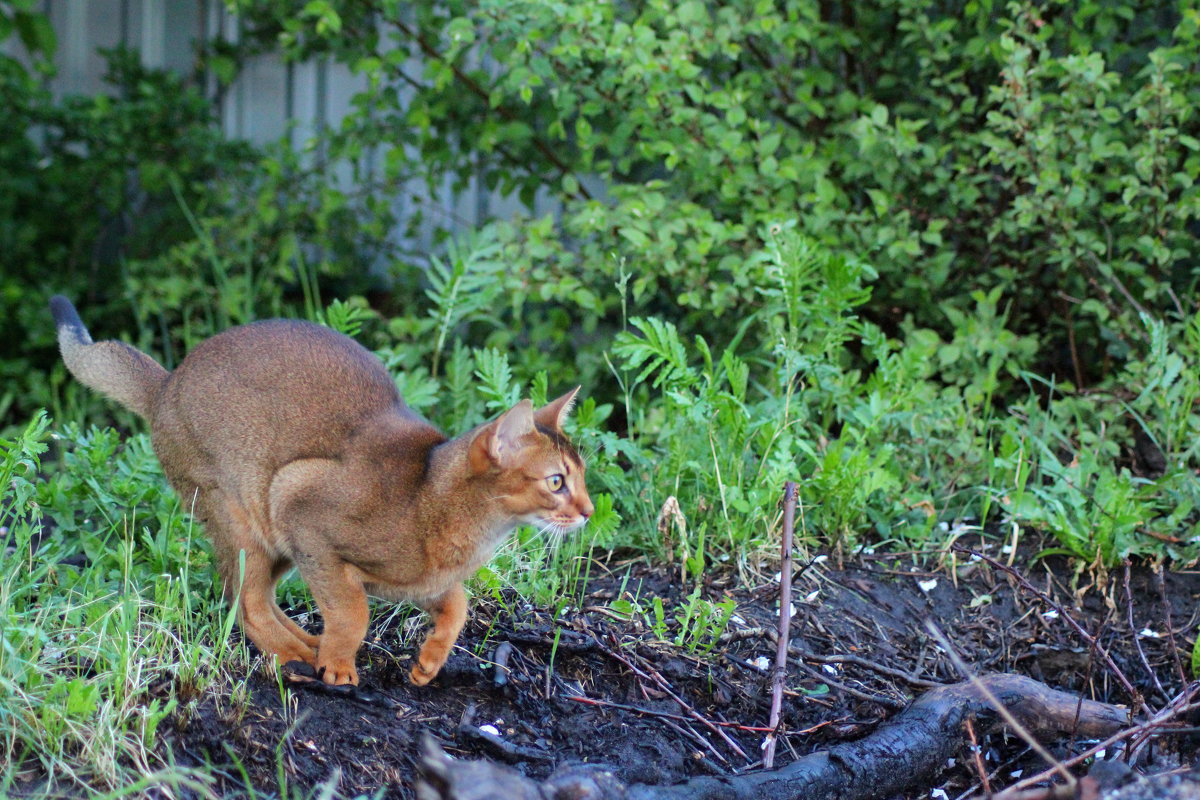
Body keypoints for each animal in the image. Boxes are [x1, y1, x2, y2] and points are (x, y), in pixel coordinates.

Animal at [51, 297, 595, 686]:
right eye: (556, 481)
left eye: (583, 475)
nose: (588, 511)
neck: (431, 499)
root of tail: (166, 384)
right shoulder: (304, 510)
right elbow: (353, 612)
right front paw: (339, 666)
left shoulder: (420, 582)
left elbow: (457, 606)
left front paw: (427, 663)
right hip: (248, 507)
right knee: (244, 599)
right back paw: (296, 656)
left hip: (273, 539)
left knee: (252, 594)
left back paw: (306, 643)